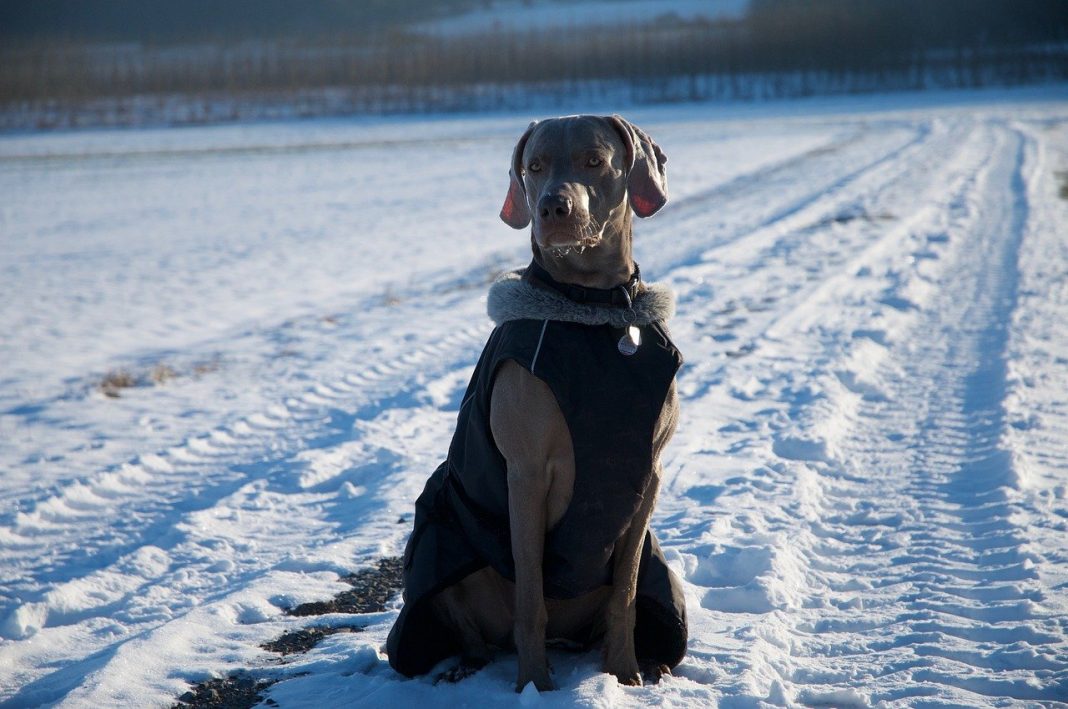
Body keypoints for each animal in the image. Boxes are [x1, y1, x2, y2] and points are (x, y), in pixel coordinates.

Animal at [388, 116, 687, 691]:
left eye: (594, 160)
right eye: (534, 166)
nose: (552, 207)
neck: (595, 311)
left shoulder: (649, 474)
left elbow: (625, 594)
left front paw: (623, 672)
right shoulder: (526, 473)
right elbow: (531, 597)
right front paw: (535, 686)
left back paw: (650, 659)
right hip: (446, 536)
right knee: (472, 621)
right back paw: (464, 666)